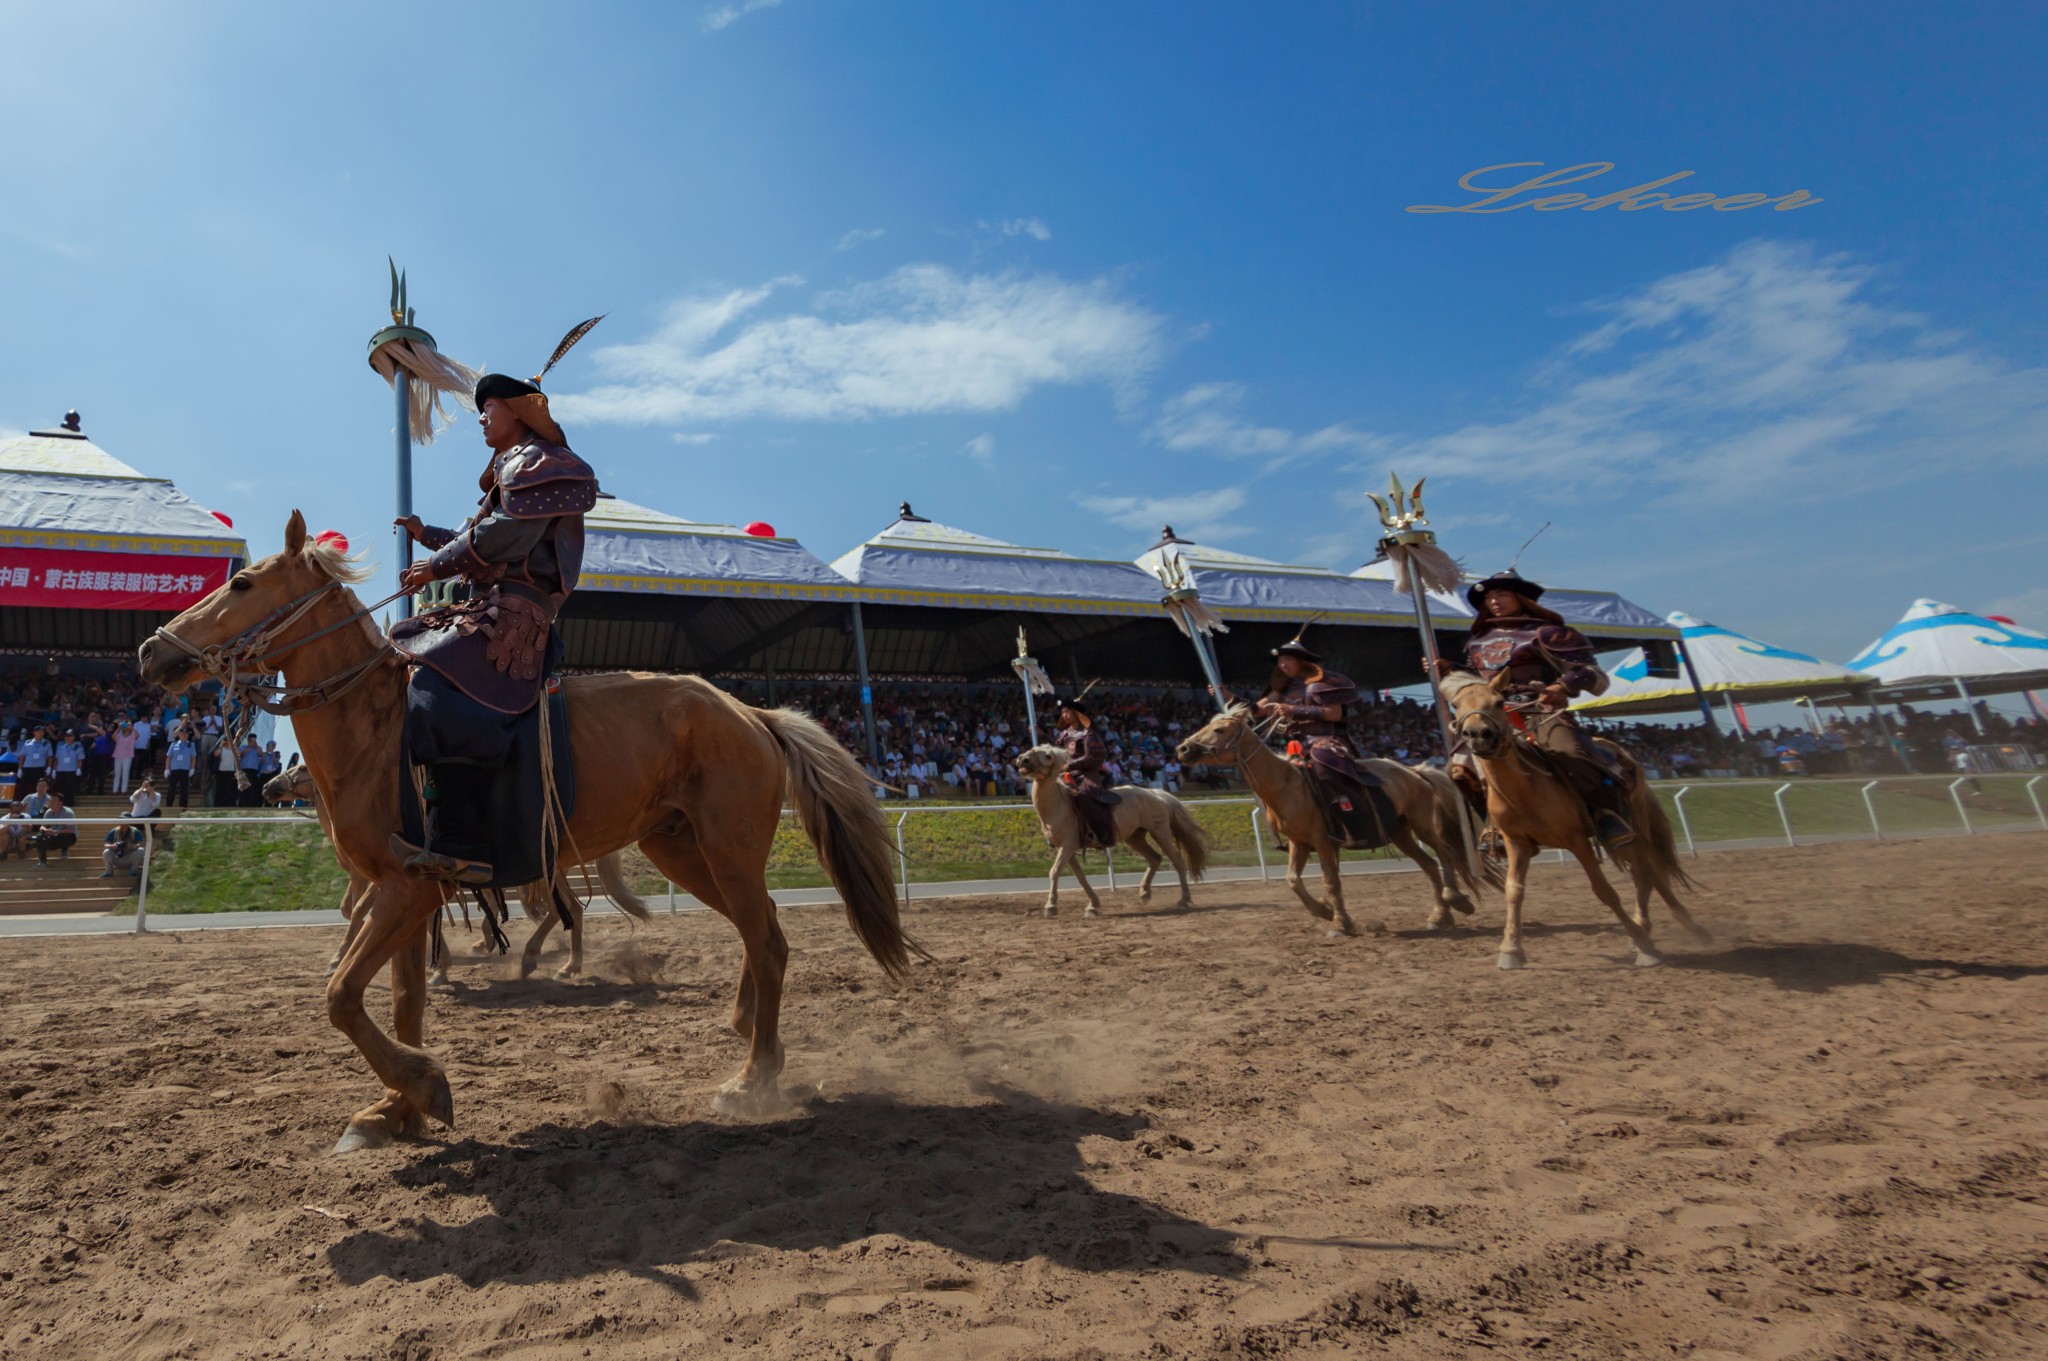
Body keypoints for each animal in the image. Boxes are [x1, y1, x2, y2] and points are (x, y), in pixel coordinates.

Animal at [262, 765, 647, 978]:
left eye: (300, 769)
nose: (267, 786)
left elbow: (358, 910)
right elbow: (354, 910)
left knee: (568, 910)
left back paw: (562, 964)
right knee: (560, 911)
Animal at [1011, 744, 1204, 912]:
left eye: (1048, 756)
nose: (1022, 759)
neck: (1059, 805)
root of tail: (1156, 793)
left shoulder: (1067, 846)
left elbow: (1054, 872)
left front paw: (1050, 906)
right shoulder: (1065, 848)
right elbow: (1080, 877)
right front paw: (1093, 904)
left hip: (1160, 832)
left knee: (1178, 862)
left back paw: (1184, 899)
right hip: (1135, 837)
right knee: (1155, 858)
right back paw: (1145, 893)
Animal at [1441, 667, 1712, 966]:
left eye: (1499, 702)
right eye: (1456, 705)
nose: (1478, 734)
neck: (1525, 789)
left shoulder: (1577, 841)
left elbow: (1604, 890)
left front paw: (1643, 943)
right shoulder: (1516, 843)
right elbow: (1513, 891)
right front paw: (1510, 950)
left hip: (1634, 828)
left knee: (1644, 872)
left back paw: (1657, 935)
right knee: (1649, 873)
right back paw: (1666, 927)